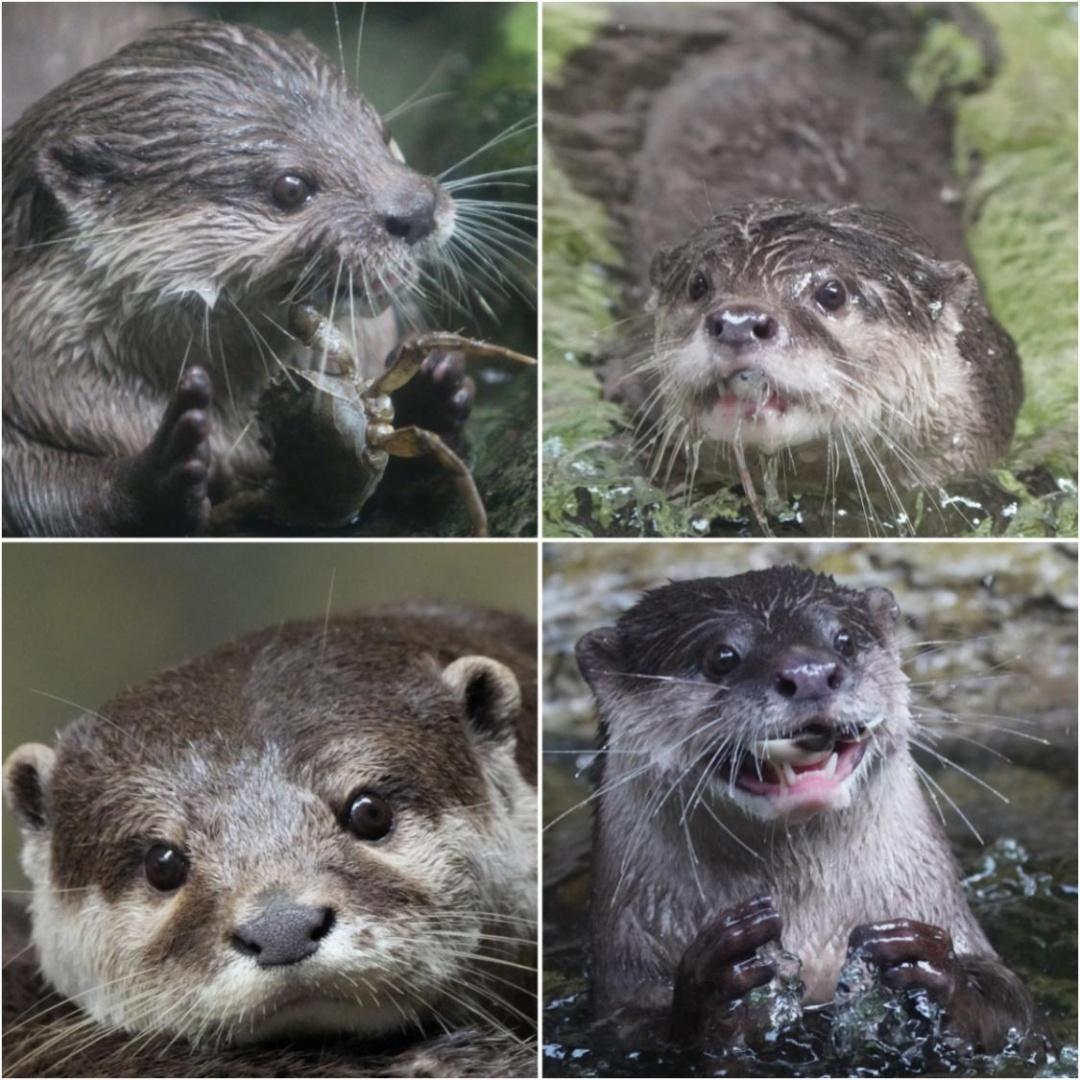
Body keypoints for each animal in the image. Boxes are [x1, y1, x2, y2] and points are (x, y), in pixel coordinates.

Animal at [3, 19, 477, 535]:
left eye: (384, 134)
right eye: (290, 188)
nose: (417, 210)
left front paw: (432, 388)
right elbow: (44, 497)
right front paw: (163, 471)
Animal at [578, 565, 1041, 1054]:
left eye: (844, 640)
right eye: (722, 656)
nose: (810, 673)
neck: (815, 942)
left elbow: (1016, 1011)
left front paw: (930, 963)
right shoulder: (621, 1004)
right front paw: (715, 982)